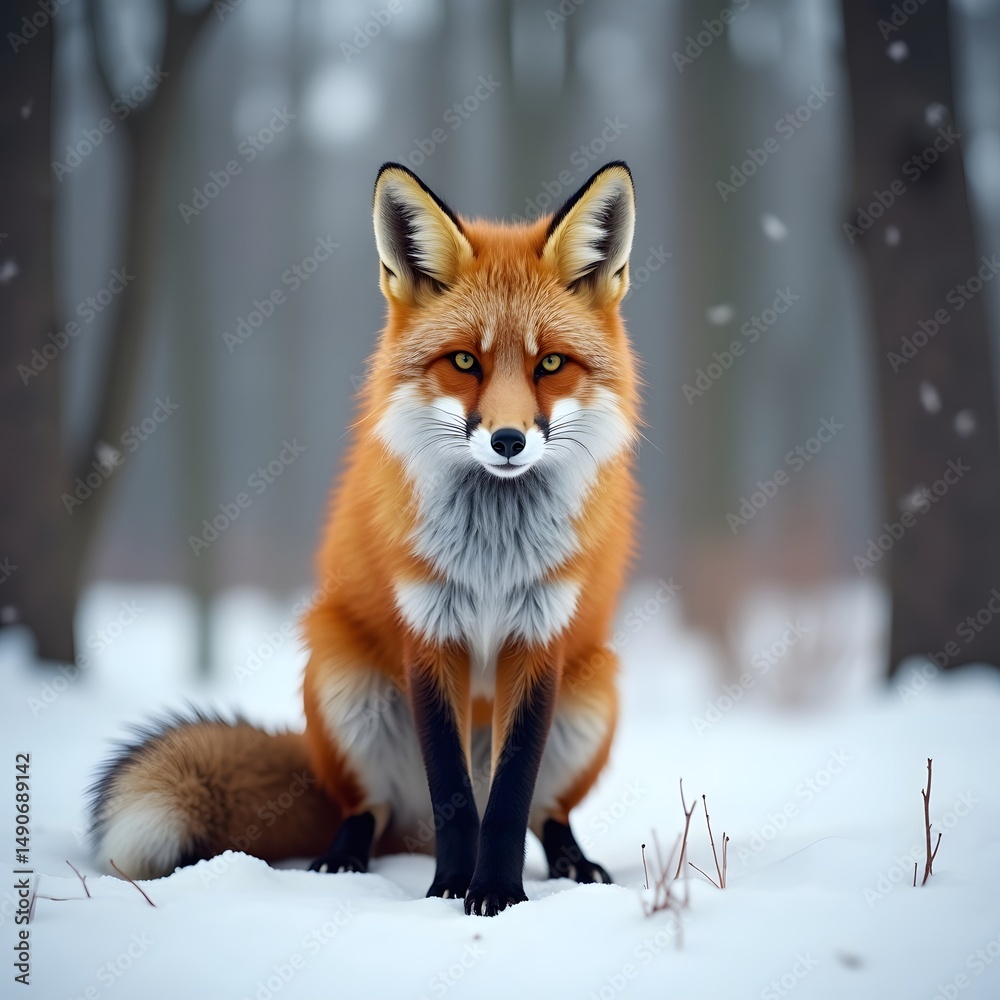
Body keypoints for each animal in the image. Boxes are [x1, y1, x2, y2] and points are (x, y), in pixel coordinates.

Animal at [89, 160, 639, 916]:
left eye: (550, 365)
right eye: (464, 362)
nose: (507, 440)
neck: (493, 555)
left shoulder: (540, 639)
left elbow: (505, 802)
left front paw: (497, 895)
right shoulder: (427, 633)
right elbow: (455, 798)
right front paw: (449, 893)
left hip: (593, 694)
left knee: (544, 812)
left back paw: (573, 864)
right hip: (343, 680)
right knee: (370, 810)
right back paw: (343, 861)